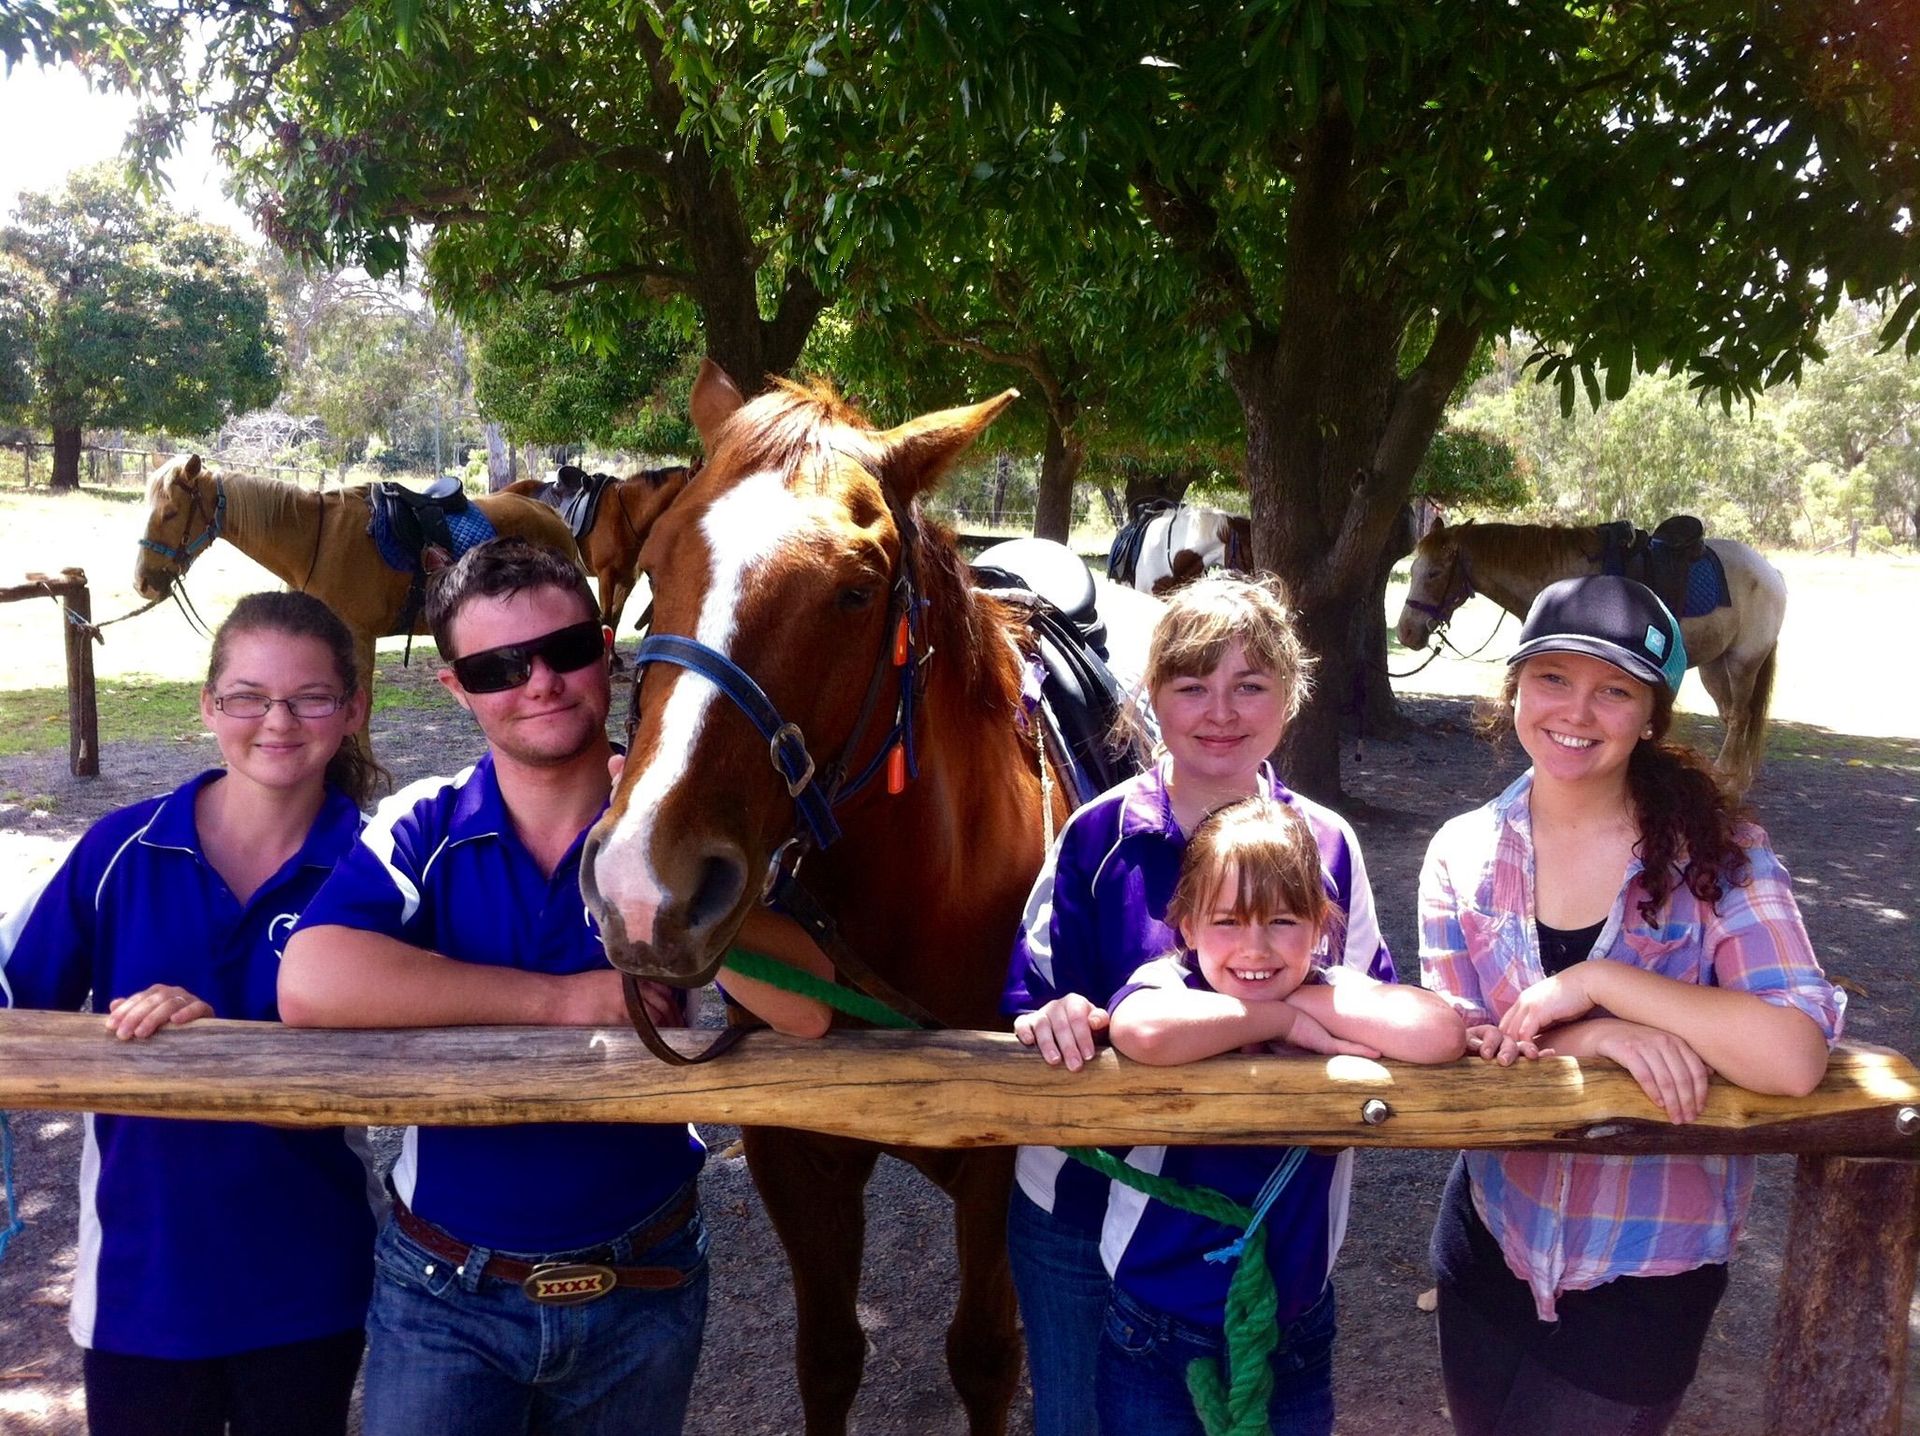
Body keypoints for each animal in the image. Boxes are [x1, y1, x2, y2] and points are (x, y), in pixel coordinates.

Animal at [133, 454, 585, 744]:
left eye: (170, 513)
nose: (144, 583)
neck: (314, 540)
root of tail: (548, 514)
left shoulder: (359, 637)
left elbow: (359, 713)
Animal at [578, 361, 1099, 1434]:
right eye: (654, 564)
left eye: (855, 592)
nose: (642, 887)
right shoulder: (792, 1149)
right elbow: (827, 1356)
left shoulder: (1000, 1160)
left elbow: (985, 1355)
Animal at [1395, 517, 1787, 790]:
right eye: (1412, 569)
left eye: (1433, 572)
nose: (1406, 632)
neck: (1564, 584)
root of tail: (1772, 573)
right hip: (1715, 668)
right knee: (1733, 717)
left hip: (1742, 663)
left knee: (1739, 717)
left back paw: (1729, 779)